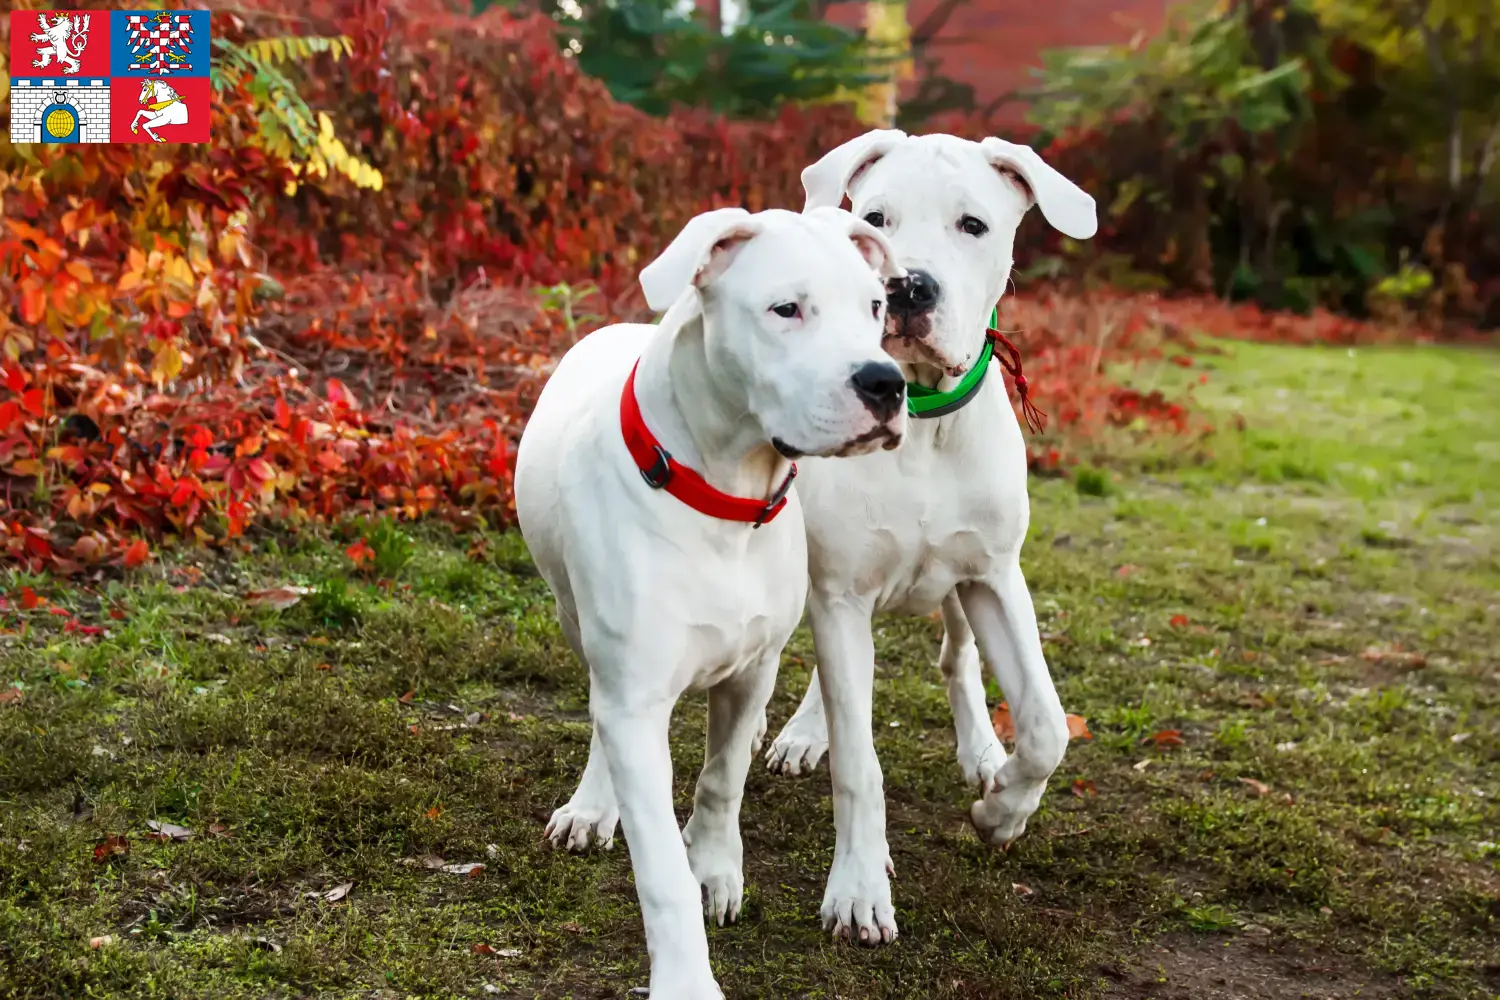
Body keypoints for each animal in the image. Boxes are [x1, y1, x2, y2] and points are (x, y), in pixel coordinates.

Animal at [516, 206, 906, 995]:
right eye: (786, 309)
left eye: (876, 309)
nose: (887, 383)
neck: (723, 495)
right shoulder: (634, 694)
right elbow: (658, 866)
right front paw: (686, 977)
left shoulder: (752, 666)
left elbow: (722, 777)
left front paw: (715, 867)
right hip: (578, 622)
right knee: (599, 714)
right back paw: (594, 803)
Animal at [762, 131, 1104, 947]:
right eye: (875, 218)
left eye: (972, 225)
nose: (908, 288)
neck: (920, 414)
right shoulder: (841, 591)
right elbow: (859, 760)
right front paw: (859, 889)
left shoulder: (995, 577)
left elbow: (1046, 727)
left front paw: (1001, 810)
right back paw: (804, 732)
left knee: (957, 658)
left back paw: (982, 750)